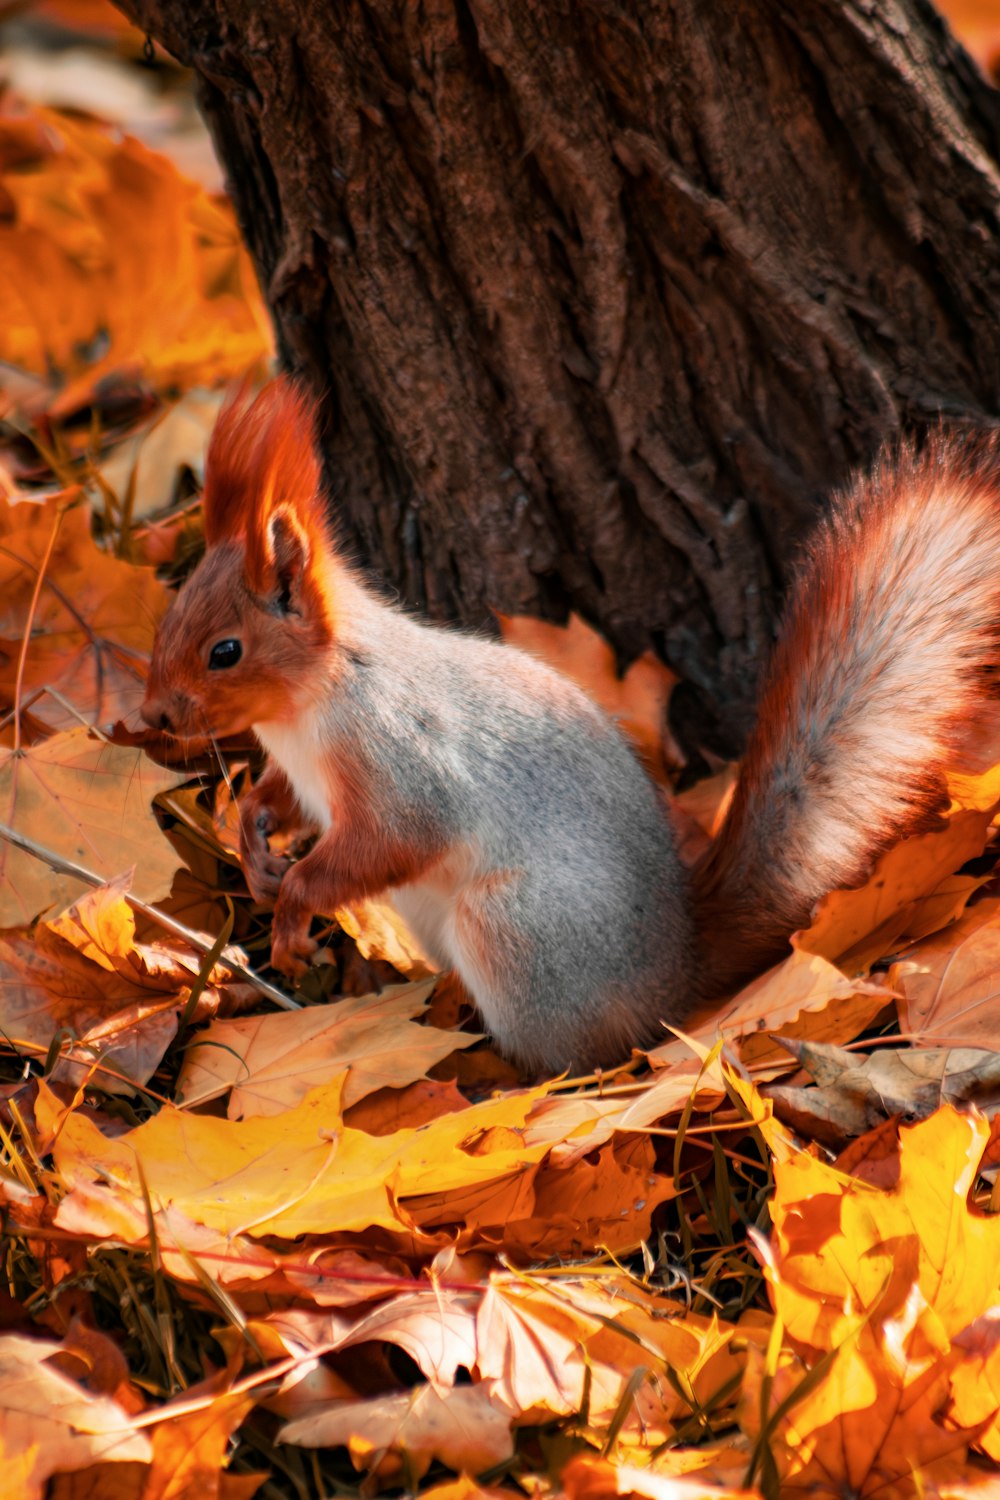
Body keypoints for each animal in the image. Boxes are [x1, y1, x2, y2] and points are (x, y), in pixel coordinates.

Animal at [140, 381, 1000, 1074]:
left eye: (224, 651)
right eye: (170, 617)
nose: (151, 715)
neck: (309, 702)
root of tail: (673, 979)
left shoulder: (400, 756)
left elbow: (394, 840)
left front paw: (292, 908)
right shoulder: (307, 775)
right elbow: (280, 800)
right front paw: (253, 841)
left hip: (516, 932)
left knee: (577, 1059)